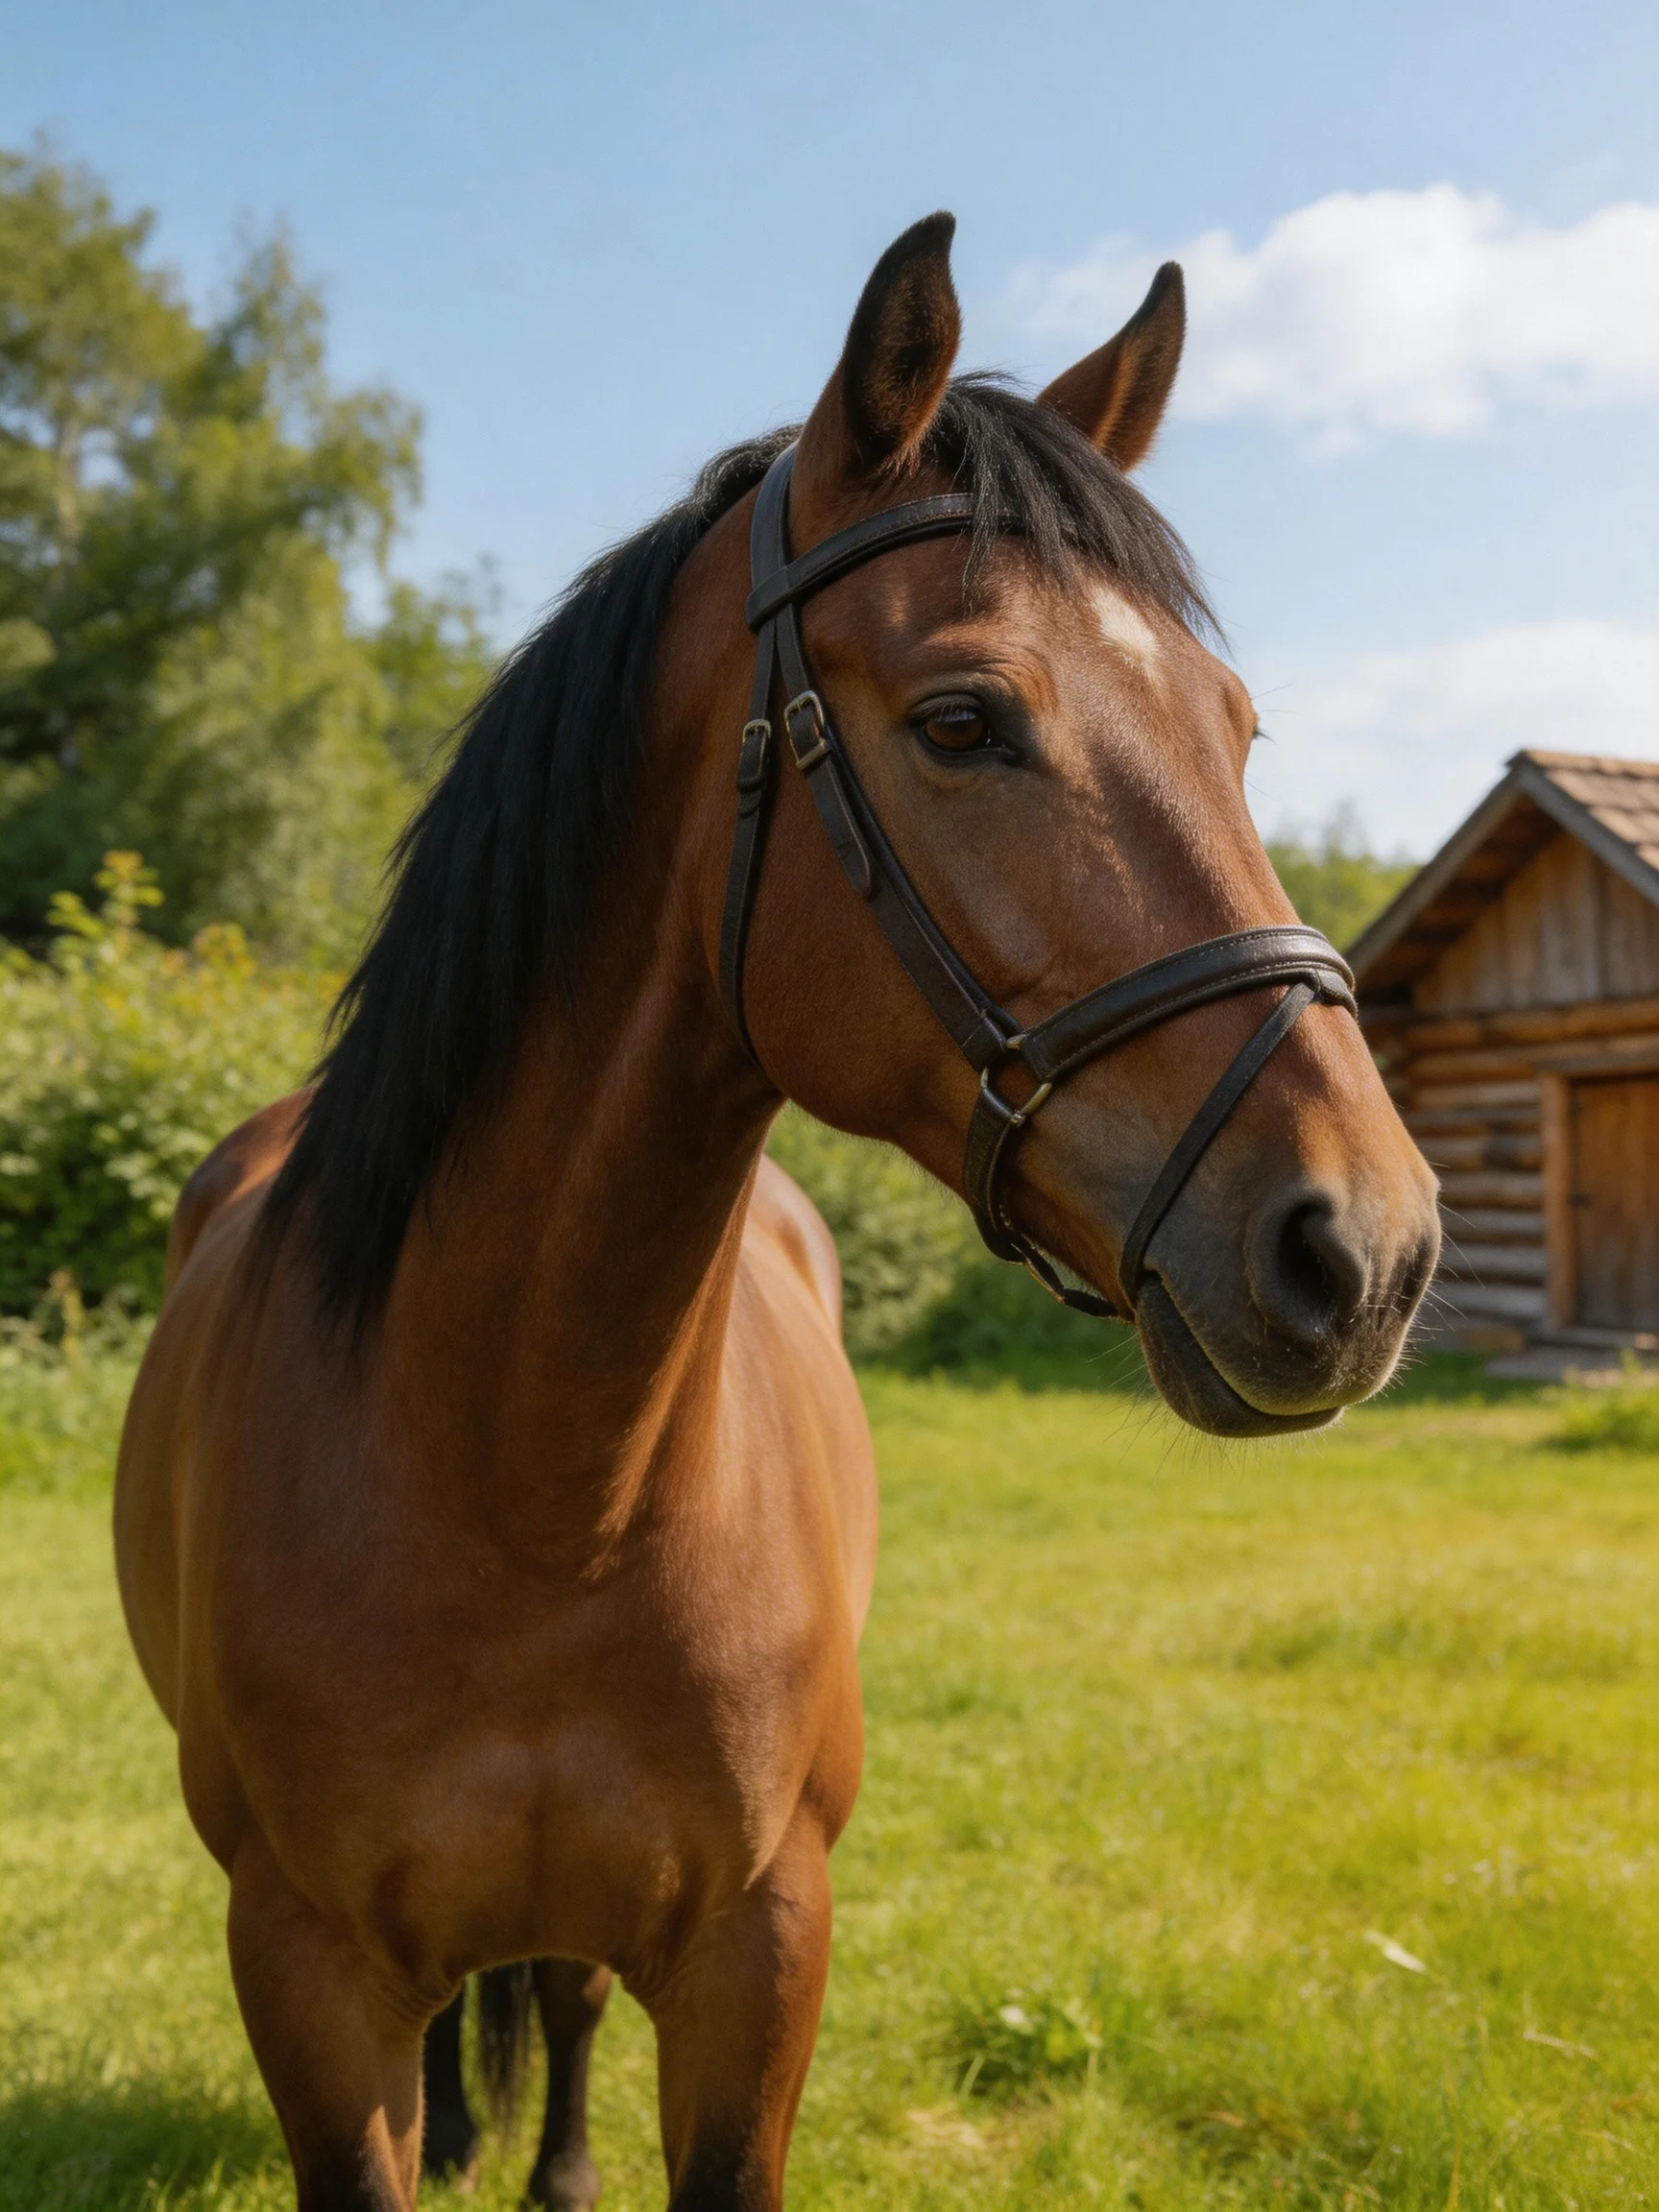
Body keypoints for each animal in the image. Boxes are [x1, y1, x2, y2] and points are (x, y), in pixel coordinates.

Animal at [114, 212, 1439, 2210]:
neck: (525, 1489)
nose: (1364, 1244)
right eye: (963, 718)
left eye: (1232, 726)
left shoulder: (759, 1954)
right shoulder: (306, 1975)